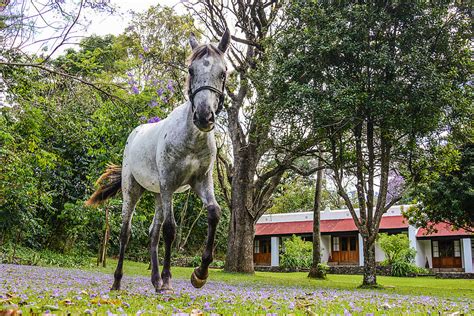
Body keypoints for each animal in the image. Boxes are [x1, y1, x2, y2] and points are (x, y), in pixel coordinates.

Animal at [88, 30, 231, 294]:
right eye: (191, 70)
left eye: (223, 72)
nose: (204, 117)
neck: (191, 137)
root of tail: (135, 133)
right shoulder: (168, 185)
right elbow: (170, 229)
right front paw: (167, 279)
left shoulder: (201, 182)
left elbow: (214, 213)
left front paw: (200, 274)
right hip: (134, 190)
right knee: (126, 233)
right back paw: (118, 281)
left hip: (156, 194)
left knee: (152, 234)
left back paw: (154, 280)